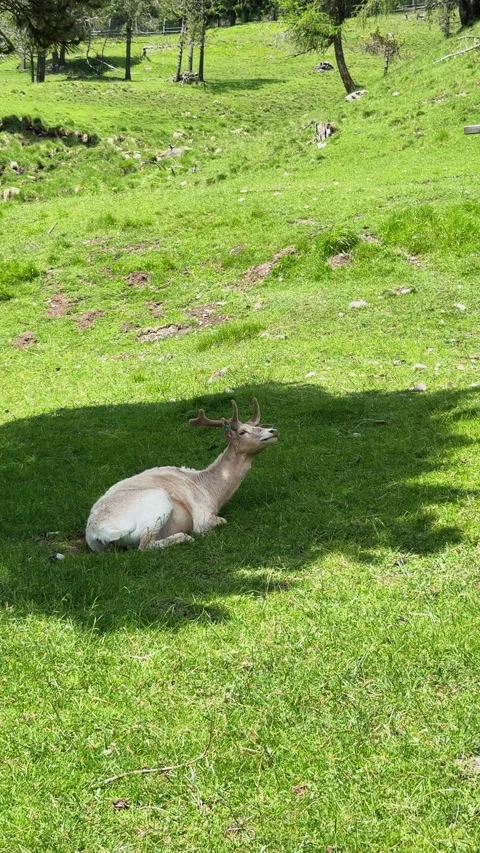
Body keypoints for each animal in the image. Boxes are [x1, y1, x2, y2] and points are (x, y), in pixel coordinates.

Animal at [85, 399, 278, 552]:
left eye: (258, 426)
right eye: (242, 432)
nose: (273, 431)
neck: (211, 492)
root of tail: (97, 533)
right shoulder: (202, 517)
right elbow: (220, 521)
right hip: (158, 500)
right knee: (145, 545)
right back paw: (184, 537)